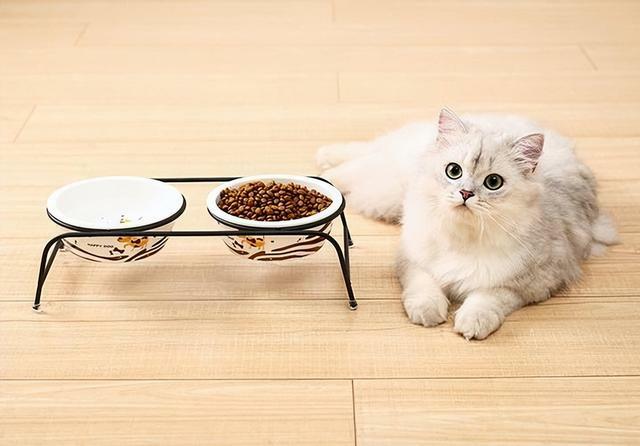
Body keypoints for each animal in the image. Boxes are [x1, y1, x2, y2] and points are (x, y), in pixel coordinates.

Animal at [317, 108, 618, 339]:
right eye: (454, 171)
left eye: (493, 182)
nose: (465, 193)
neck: (463, 236)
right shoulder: (413, 259)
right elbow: (423, 287)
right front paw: (428, 313)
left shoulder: (529, 284)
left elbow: (487, 299)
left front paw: (472, 324)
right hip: (386, 184)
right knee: (359, 160)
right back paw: (324, 166)